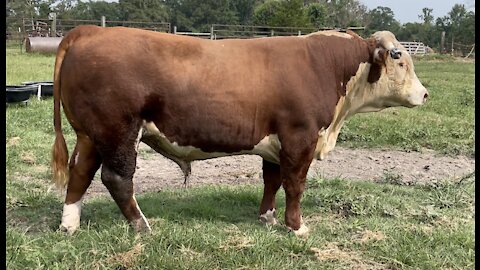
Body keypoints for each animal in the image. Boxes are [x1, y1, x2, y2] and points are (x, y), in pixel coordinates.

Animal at [51, 25, 428, 236]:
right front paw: (297, 227)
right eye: (398, 56)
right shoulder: (300, 137)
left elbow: (272, 180)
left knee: (80, 172)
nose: (425, 94)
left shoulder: (277, 142)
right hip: (119, 131)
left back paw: (69, 224)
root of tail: (91, 30)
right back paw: (142, 226)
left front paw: (268, 218)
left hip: (92, 134)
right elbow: (295, 185)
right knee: (117, 178)